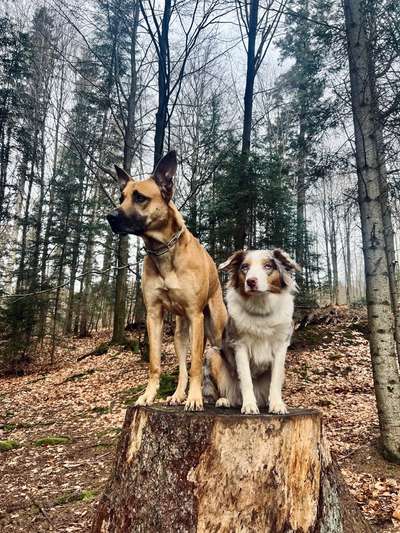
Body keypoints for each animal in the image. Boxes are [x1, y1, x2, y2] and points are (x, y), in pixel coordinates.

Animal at [106, 152, 227, 410]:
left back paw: (220, 397)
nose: (110, 216)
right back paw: (178, 394)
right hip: (180, 333)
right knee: (182, 366)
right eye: (121, 197)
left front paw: (195, 398)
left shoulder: (195, 315)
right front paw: (148, 395)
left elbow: (196, 365)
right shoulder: (154, 315)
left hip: (214, 328)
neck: (162, 248)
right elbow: (155, 362)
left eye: (140, 197)